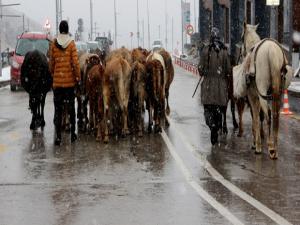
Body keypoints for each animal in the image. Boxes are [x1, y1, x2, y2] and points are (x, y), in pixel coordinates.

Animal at [241, 22, 290, 159]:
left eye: (241, 38)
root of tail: (271, 50)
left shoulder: (253, 96)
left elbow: (256, 116)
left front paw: (256, 144)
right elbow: (259, 116)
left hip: (262, 90)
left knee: (268, 115)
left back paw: (270, 146)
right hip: (278, 93)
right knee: (275, 115)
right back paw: (275, 147)